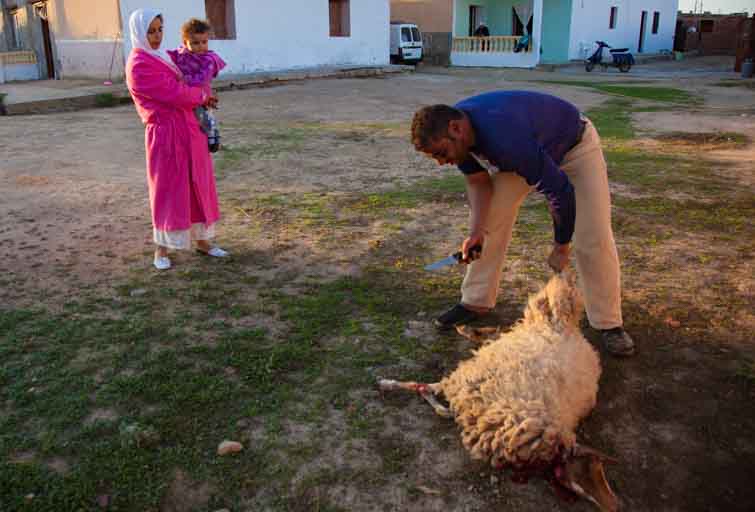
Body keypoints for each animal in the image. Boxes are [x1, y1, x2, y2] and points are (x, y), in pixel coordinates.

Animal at [378, 270, 620, 510]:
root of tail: (566, 328)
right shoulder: (465, 382)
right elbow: (425, 388)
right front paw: (387, 383)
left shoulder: (464, 385)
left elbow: (424, 389)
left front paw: (389, 384)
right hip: (527, 325)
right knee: (515, 321)